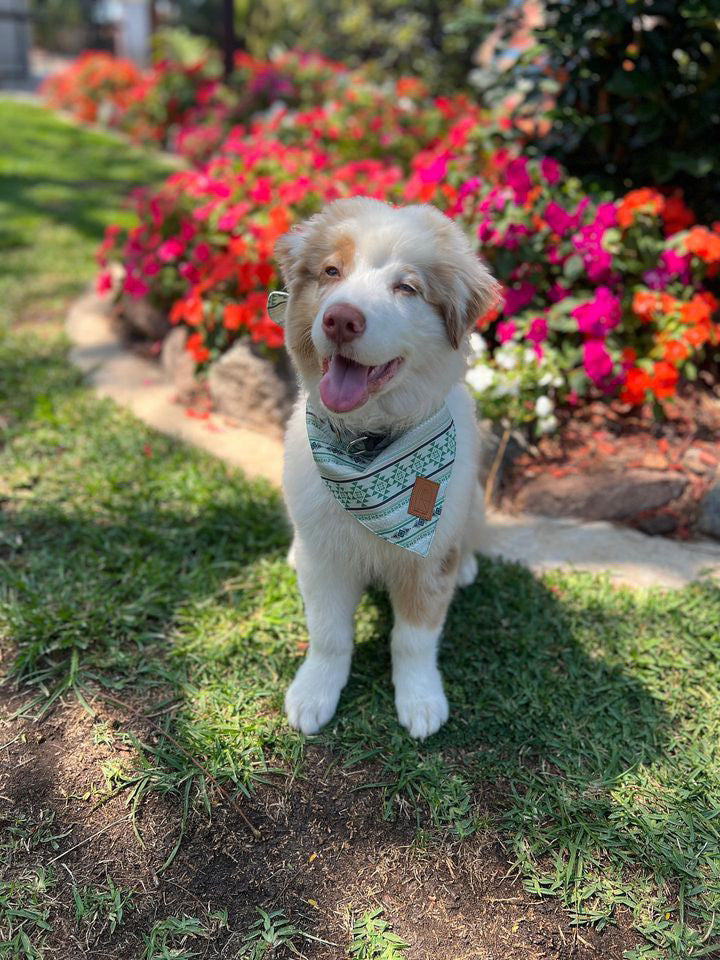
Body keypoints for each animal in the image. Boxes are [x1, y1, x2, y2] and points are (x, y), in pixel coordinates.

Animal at [272, 193, 498, 736]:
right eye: (332, 271)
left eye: (407, 287)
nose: (340, 320)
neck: (366, 443)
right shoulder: (326, 554)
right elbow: (329, 632)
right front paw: (314, 693)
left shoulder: (429, 558)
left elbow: (413, 638)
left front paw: (420, 700)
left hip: (474, 500)